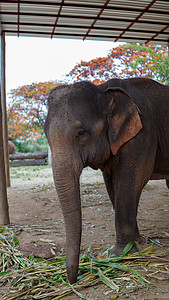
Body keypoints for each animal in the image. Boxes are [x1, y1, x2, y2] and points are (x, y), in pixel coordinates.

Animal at [44, 77, 169, 284]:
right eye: (46, 134)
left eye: (81, 133)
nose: (73, 280)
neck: (104, 91)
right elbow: (112, 185)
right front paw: (135, 244)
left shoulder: (143, 134)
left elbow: (130, 180)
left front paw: (123, 253)